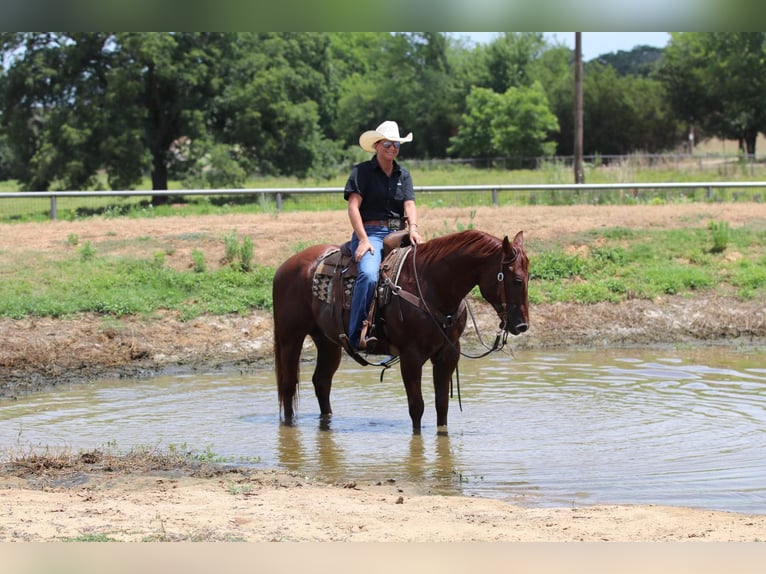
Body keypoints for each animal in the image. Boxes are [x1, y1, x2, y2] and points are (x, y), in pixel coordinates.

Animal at [272, 228, 532, 432]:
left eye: (528, 277)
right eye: (517, 279)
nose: (522, 325)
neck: (431, 285)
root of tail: (285, 266)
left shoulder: (448, 354)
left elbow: (441, 405)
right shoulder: (411, 356)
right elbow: (417, 406)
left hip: (328, 342)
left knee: (321, 382)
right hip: (290, 338)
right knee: (288, 385)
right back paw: (289, 427)